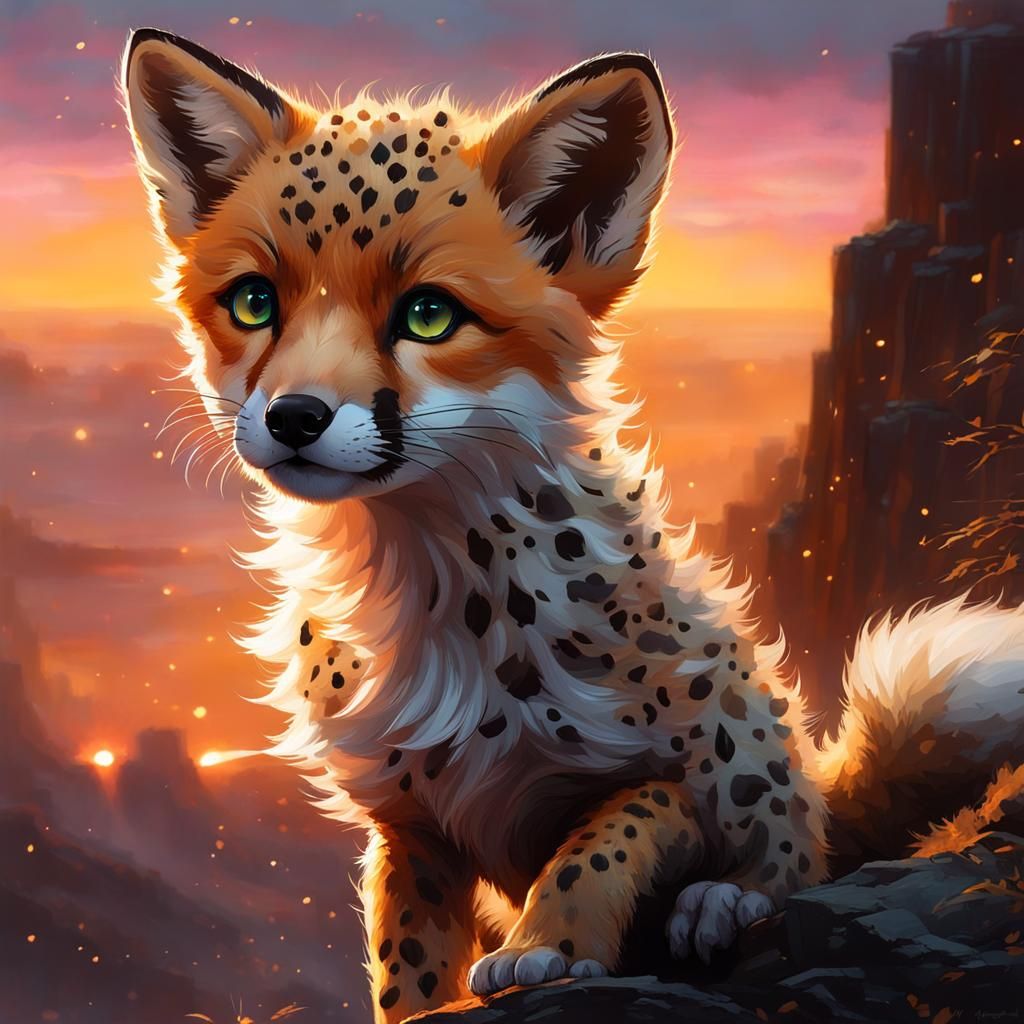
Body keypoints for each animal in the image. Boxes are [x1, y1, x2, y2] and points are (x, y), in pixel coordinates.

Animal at [122, 29, 1024, 1024]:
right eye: (255, 301)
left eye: (427, 313)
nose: (293, 418)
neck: (435, 592)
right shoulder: (411, 825)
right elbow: (407, 964)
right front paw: (442, 991)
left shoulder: (667, 771)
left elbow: (603, 839)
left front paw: (548, 942)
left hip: (751, 739)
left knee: (795, 853)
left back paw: (721, 901)